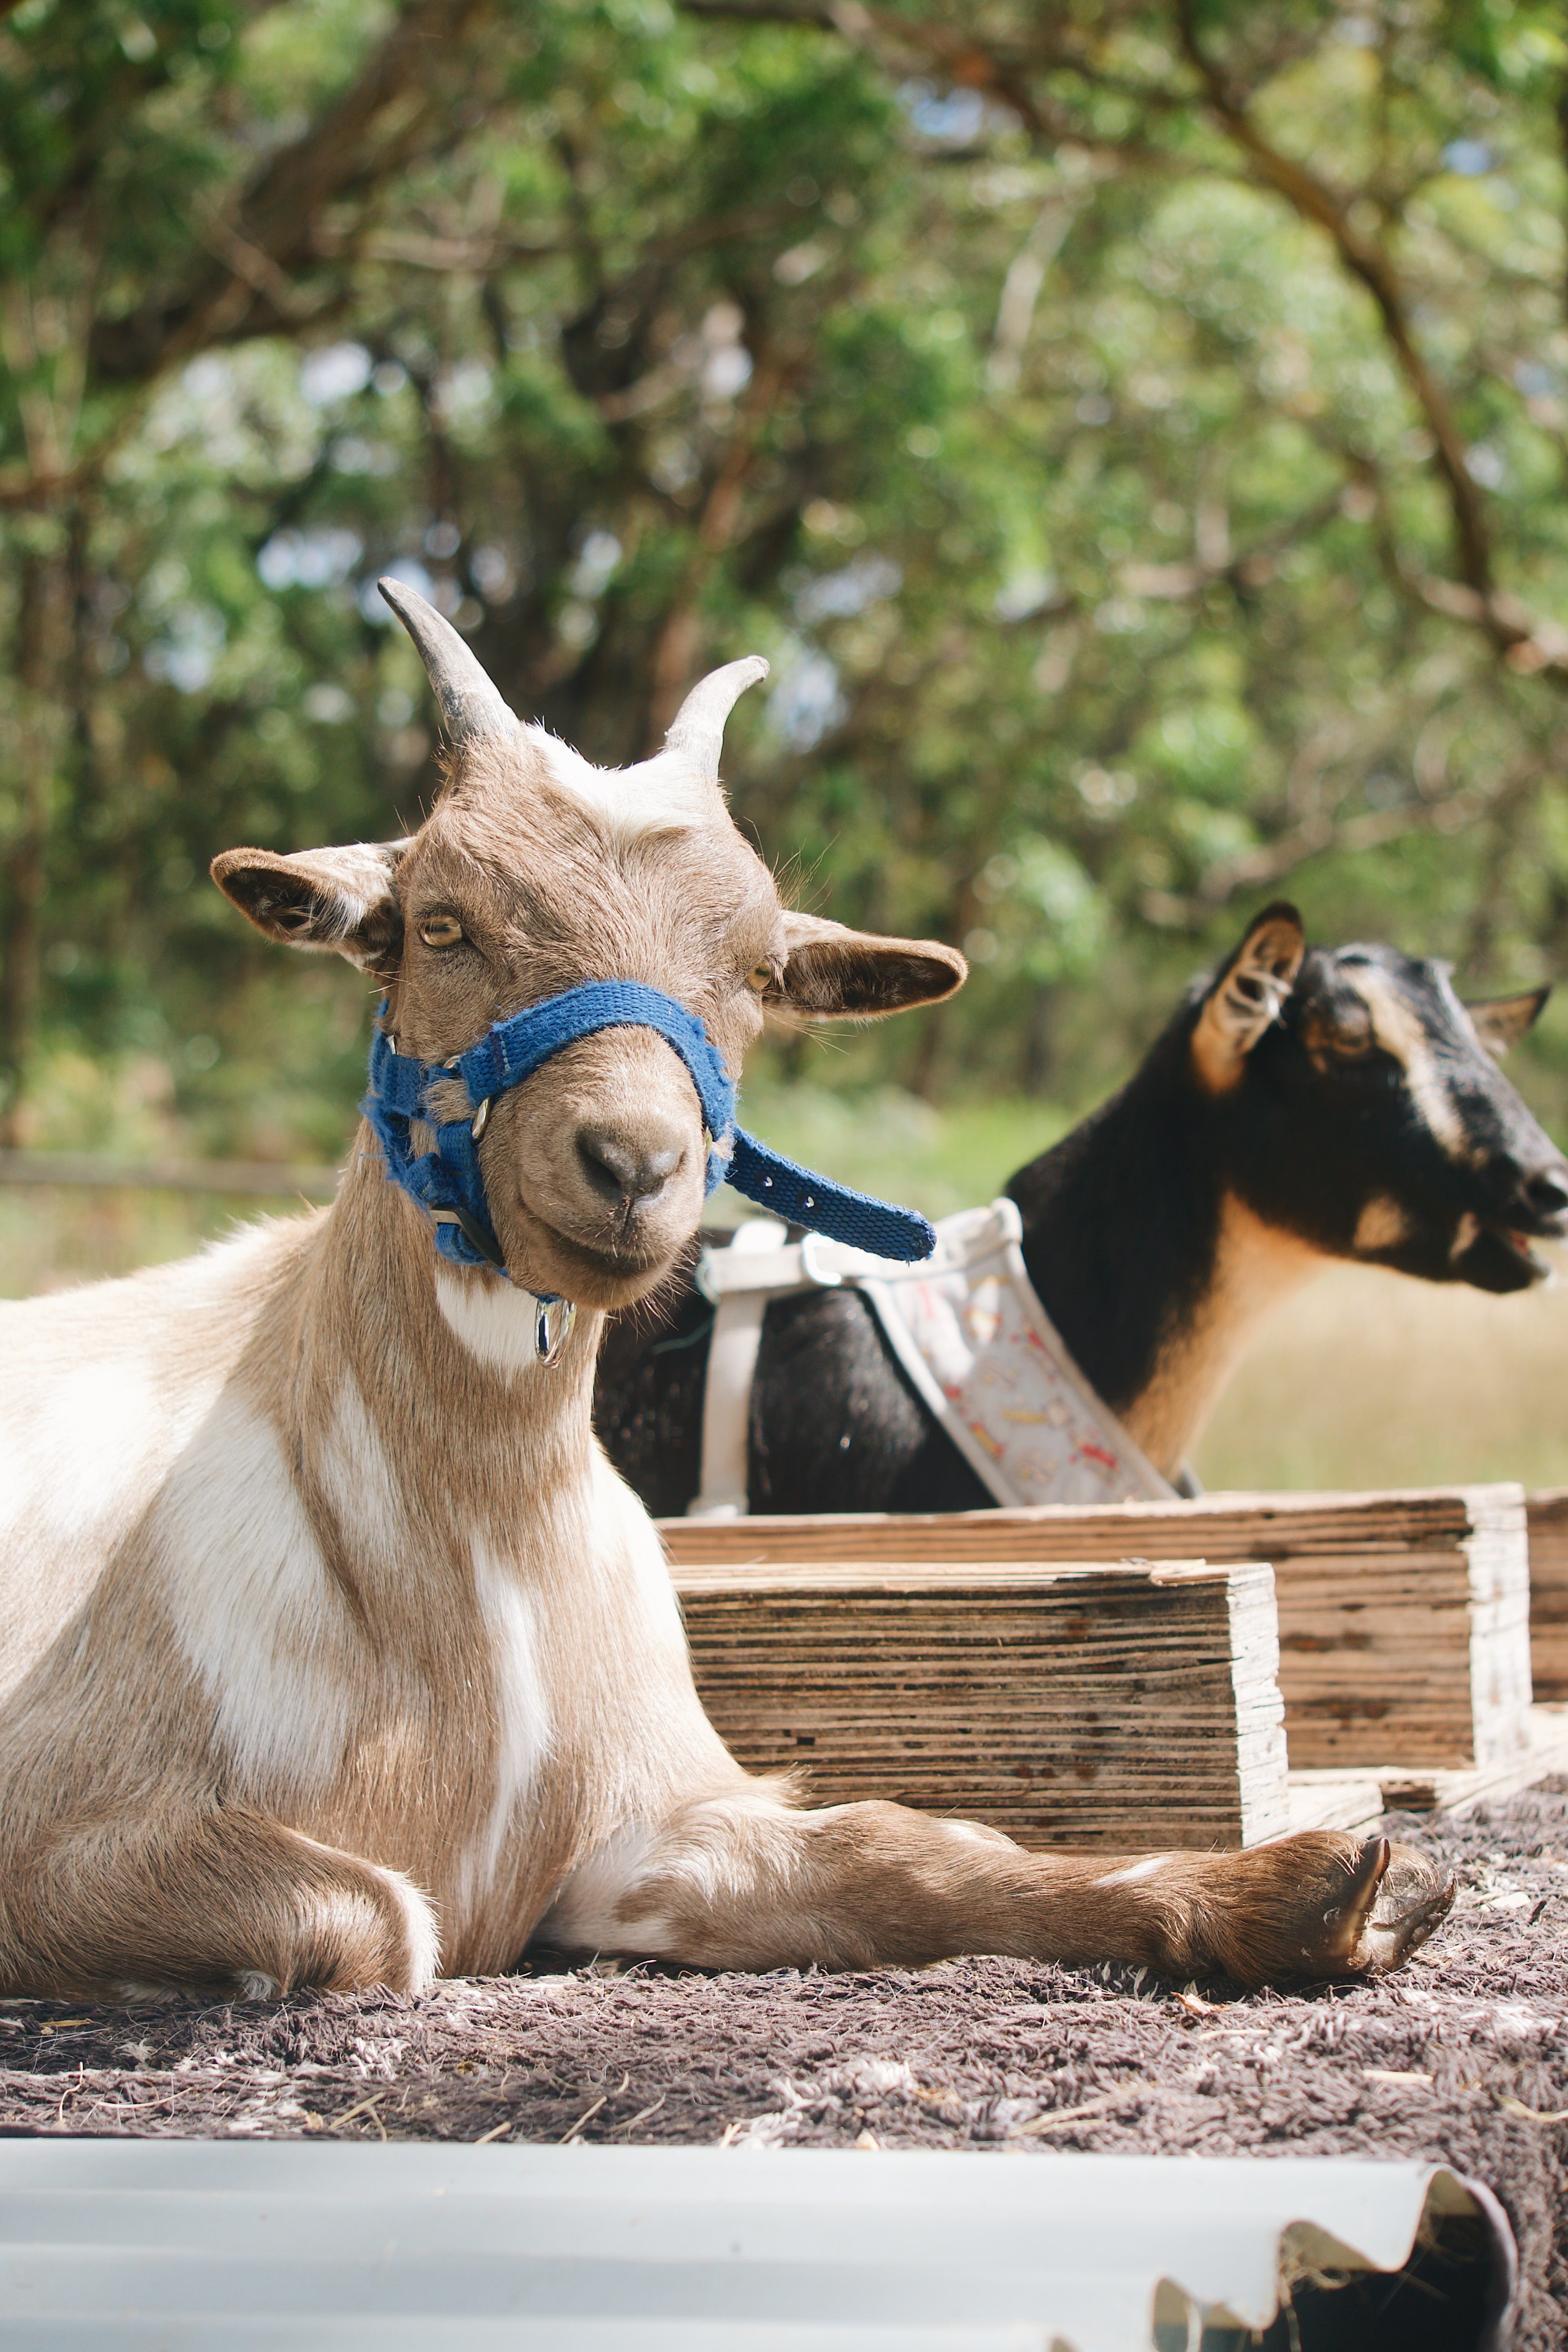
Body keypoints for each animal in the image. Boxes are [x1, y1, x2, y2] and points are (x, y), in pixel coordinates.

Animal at [0, 606, 1453, 1998]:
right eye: (440, 922)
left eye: (758, 970)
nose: (631, 1163)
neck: (477, 1552)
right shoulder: (63, 1826)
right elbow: (376, 1917)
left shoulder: (653, 1822)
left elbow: (907, 1847)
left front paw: (1320, 1893)